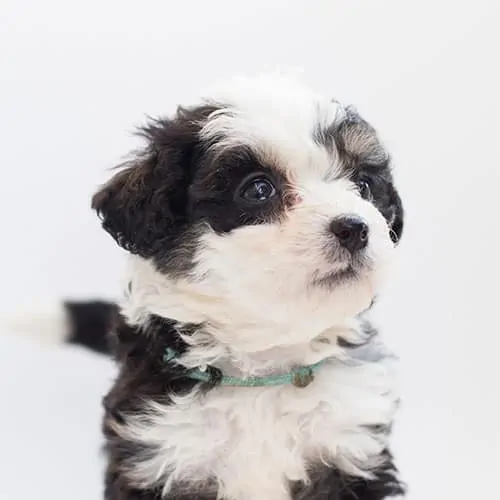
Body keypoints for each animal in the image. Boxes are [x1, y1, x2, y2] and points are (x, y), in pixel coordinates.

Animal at [46, 75, 406, 500]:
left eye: (364, 185)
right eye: (258, 190)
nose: (354, 227)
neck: (262, 371)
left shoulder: (350, 445)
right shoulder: (160, 451)